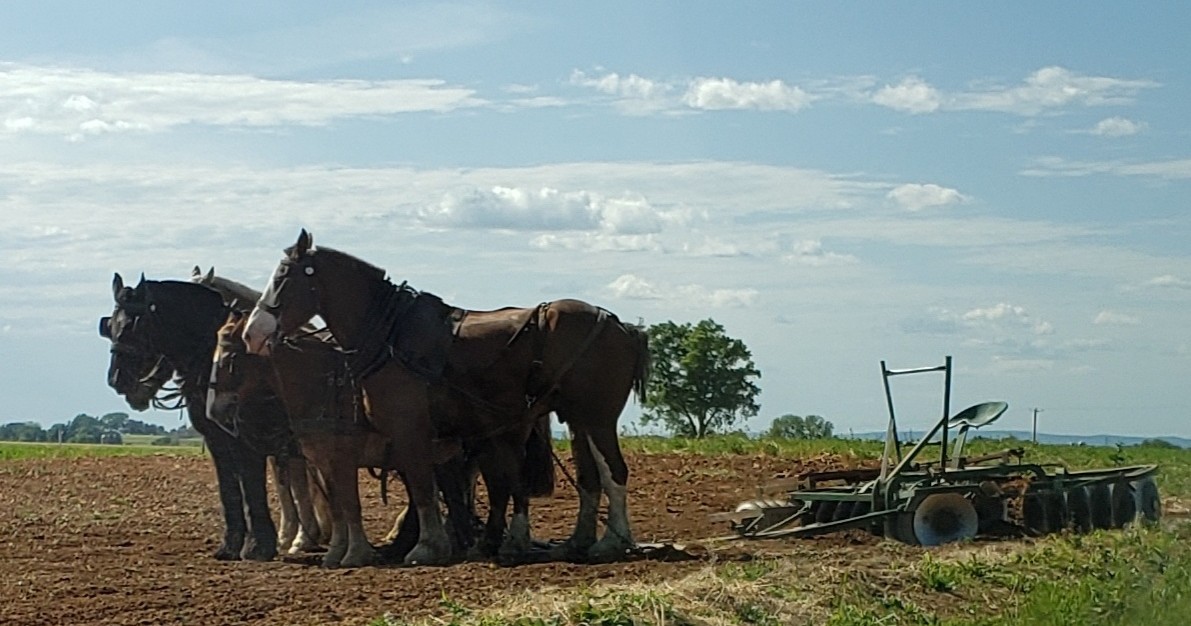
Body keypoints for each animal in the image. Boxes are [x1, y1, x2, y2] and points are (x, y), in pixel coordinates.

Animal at [98, 277, 281, 561]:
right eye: (111, 325)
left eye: (134, 324)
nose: (117, 379)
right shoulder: (217, 440)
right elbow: (229, 489)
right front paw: (230, 545)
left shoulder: (245, 438)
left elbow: (252, 487)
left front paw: (257, 546)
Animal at [244, 230, 652, 564]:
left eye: (283, 277)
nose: (253, 334)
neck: (391, 335)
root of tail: (621, 325)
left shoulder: (409, 427)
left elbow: (422, 485)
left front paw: (427, 547)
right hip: (577, 420)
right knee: (588, 476)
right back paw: (577, 542)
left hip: (598, 417)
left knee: (613, 471)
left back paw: (613, 542)